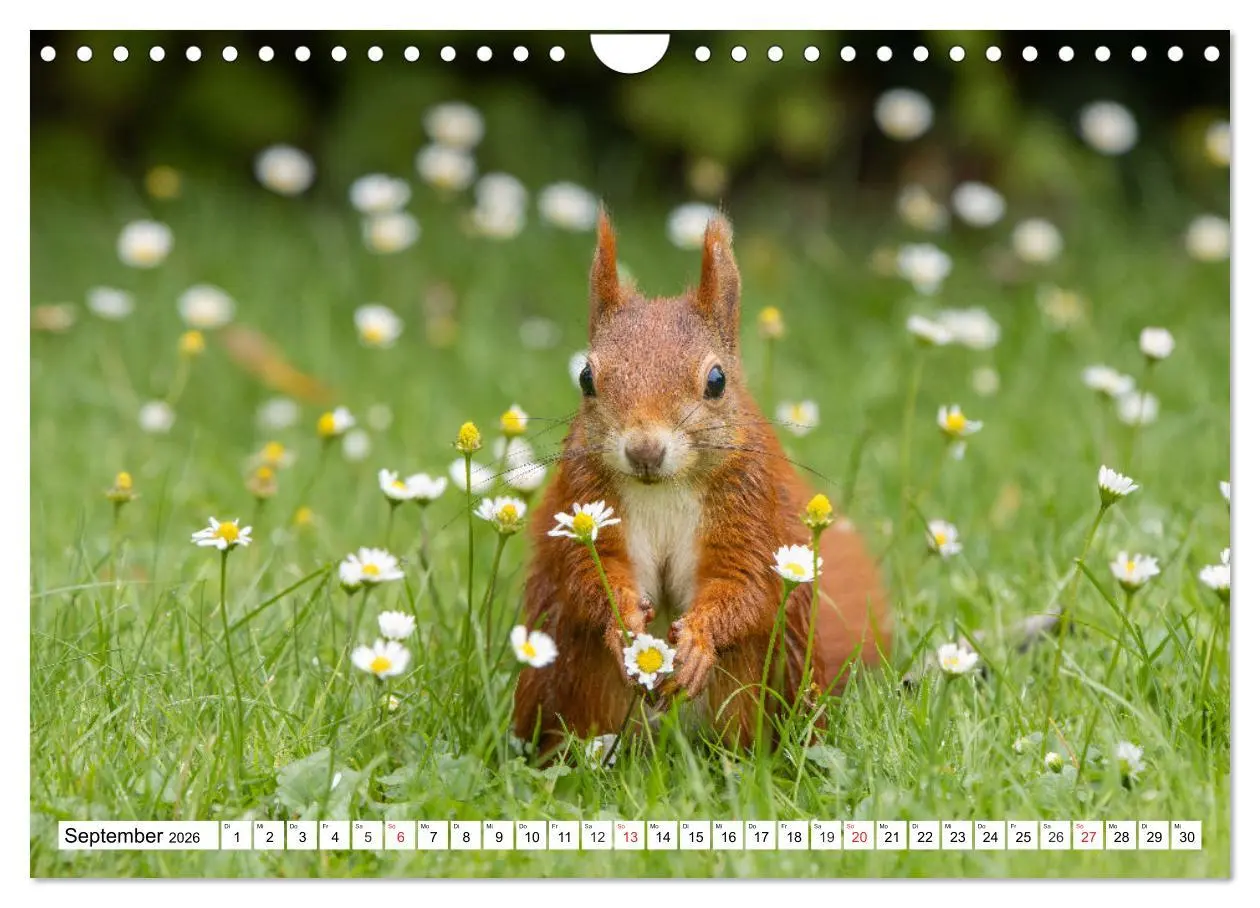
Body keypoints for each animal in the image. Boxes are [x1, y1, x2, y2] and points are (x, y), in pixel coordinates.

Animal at [512, 210, 889, 755]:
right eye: (585, 377)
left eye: (716, 381)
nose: (644, 451)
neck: (663, 489)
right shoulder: (585, 501)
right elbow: (588, 573)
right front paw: (623, 623)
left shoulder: (749, 509)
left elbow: (745, 585)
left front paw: (697, 642)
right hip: (572, 677)